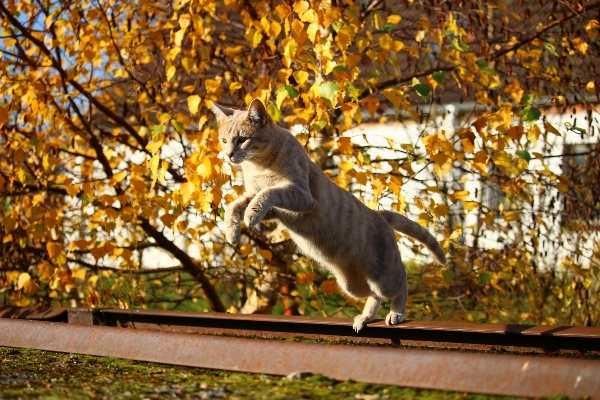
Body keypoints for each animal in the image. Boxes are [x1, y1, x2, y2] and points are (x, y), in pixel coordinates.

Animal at [211, 99, 446, 332]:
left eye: (242, 140)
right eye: (224, 140)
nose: (228, 155)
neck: (257, 167)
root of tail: (379, 214)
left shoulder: (300, 195)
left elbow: (268, 193)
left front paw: (251, 215)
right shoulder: (264, 204)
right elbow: (234, 206)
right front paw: (232, 232)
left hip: (384, 276)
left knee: (401, 283)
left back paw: (396, 314)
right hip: (351, 284)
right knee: (373, 295)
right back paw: (364, 318)